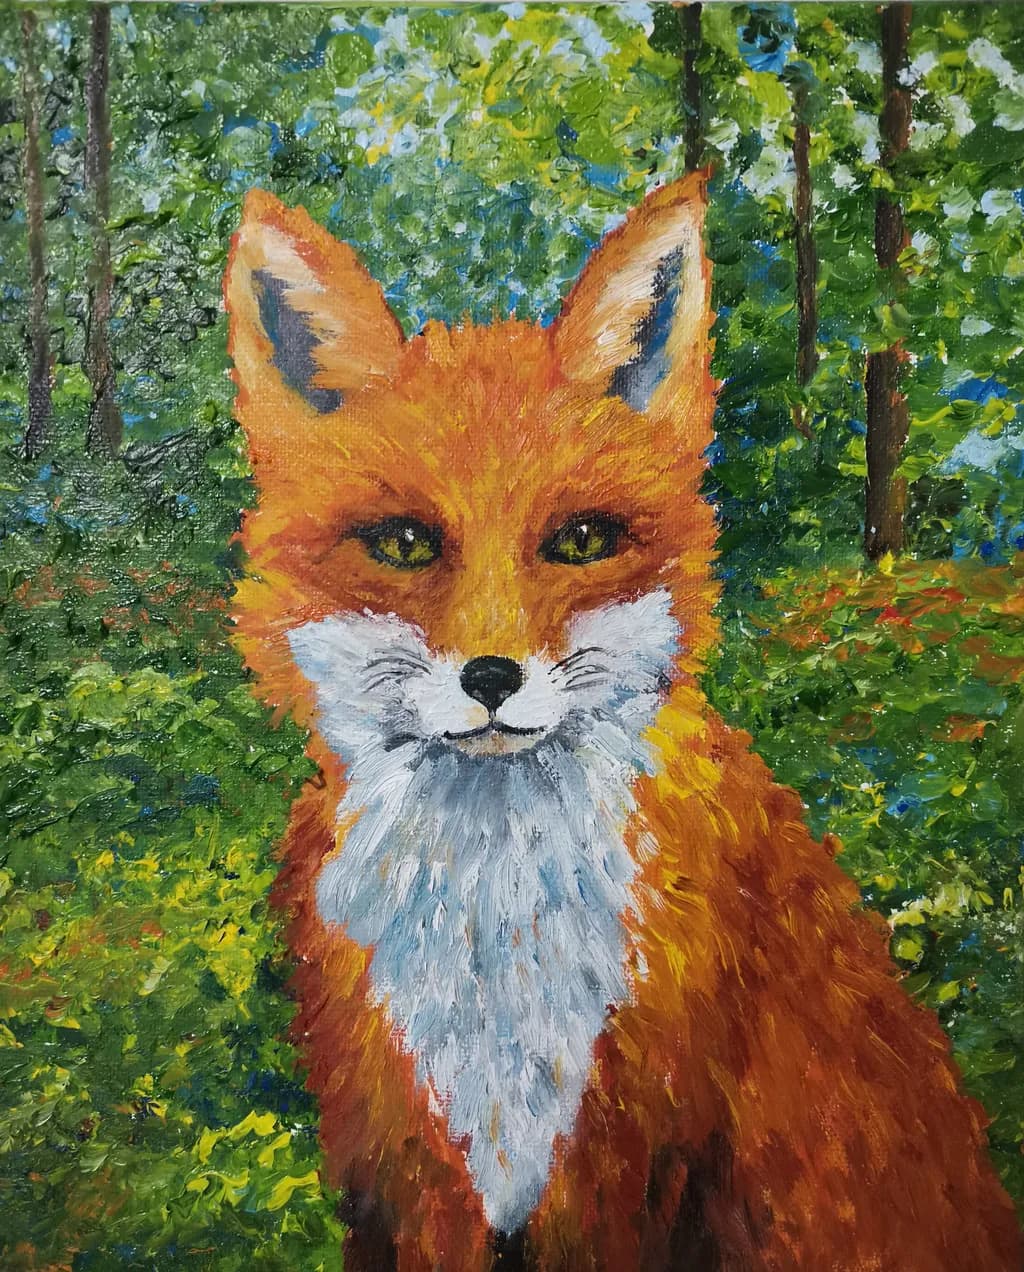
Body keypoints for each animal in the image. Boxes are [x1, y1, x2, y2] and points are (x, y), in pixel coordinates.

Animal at [224, 173, 1022, 1271]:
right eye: (404, 543)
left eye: (581, 540)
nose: (491, 676)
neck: (496, 927)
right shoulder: (407, 1165)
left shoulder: (628, 1160)